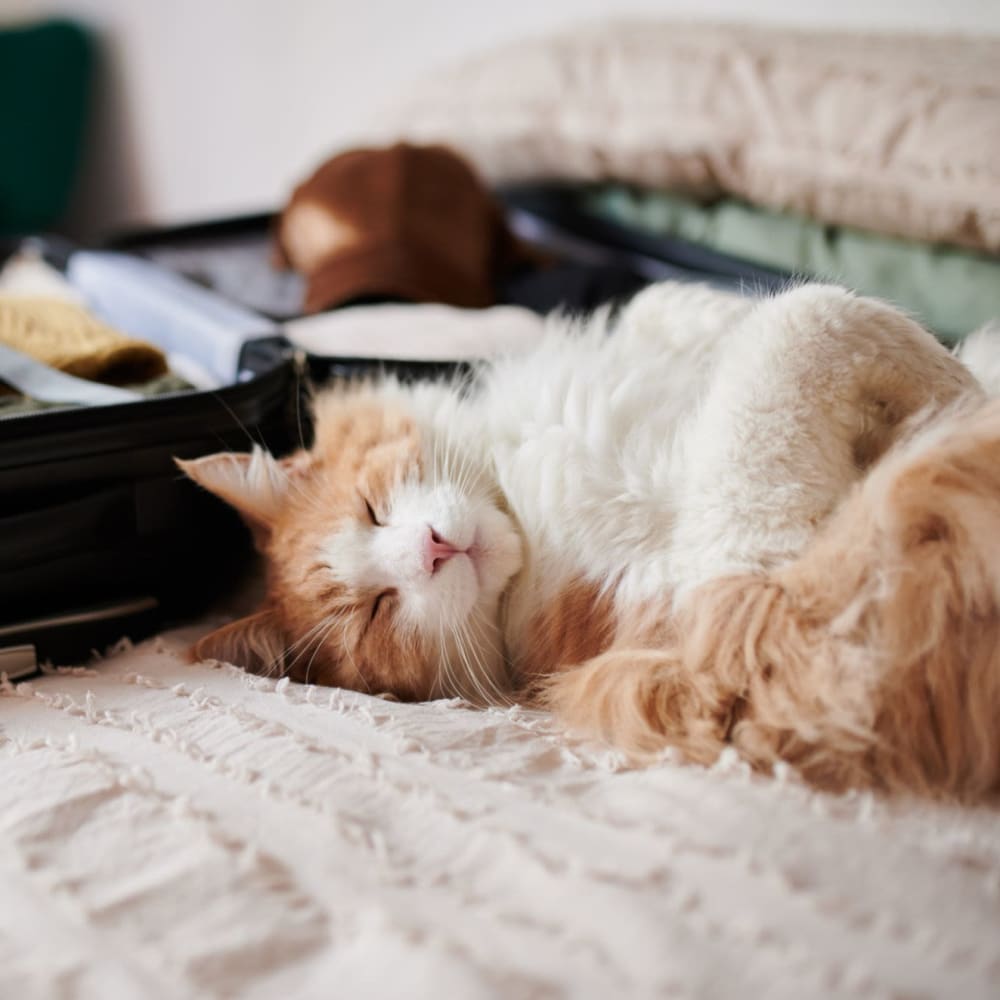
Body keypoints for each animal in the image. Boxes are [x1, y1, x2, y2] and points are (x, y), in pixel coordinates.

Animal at [180, 280, 1000, 796]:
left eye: (371, 508)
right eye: (374, 612)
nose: (435, 548)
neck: (522, 500)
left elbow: (676, 303)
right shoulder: (753, 626)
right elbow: (802, 323)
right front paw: (963, 393)